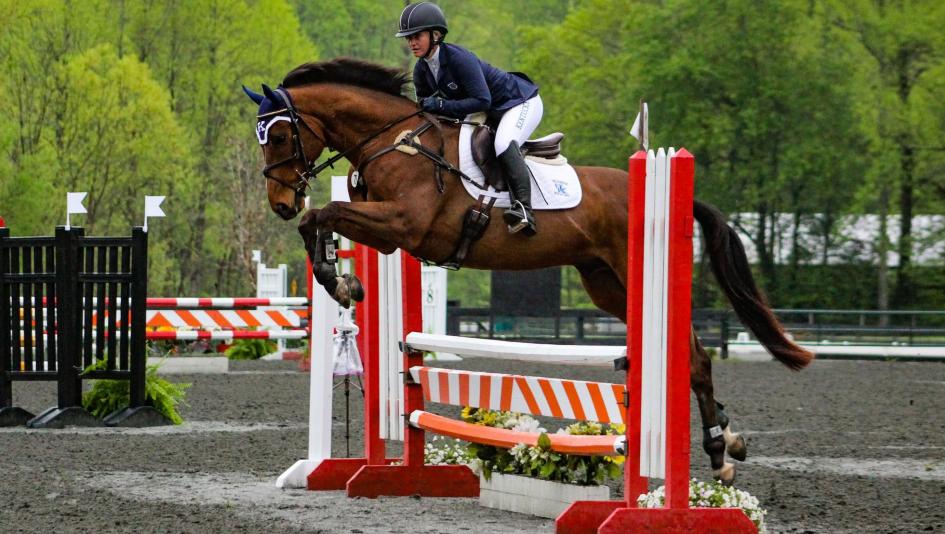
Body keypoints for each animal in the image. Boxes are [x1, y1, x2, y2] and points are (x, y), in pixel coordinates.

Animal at [244, 57, 814, 484]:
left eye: (279, 137)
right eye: (262, 139)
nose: (280, 204)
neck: (396, 140)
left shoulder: (404, 225)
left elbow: (326, 213)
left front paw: (338, 280)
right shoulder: (388, 236)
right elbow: (324, 218)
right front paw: (342, 279)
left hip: (628, 277)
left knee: (693, 355)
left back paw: (719, 454)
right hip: (605, 285)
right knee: (694, 357)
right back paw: (726, 443)